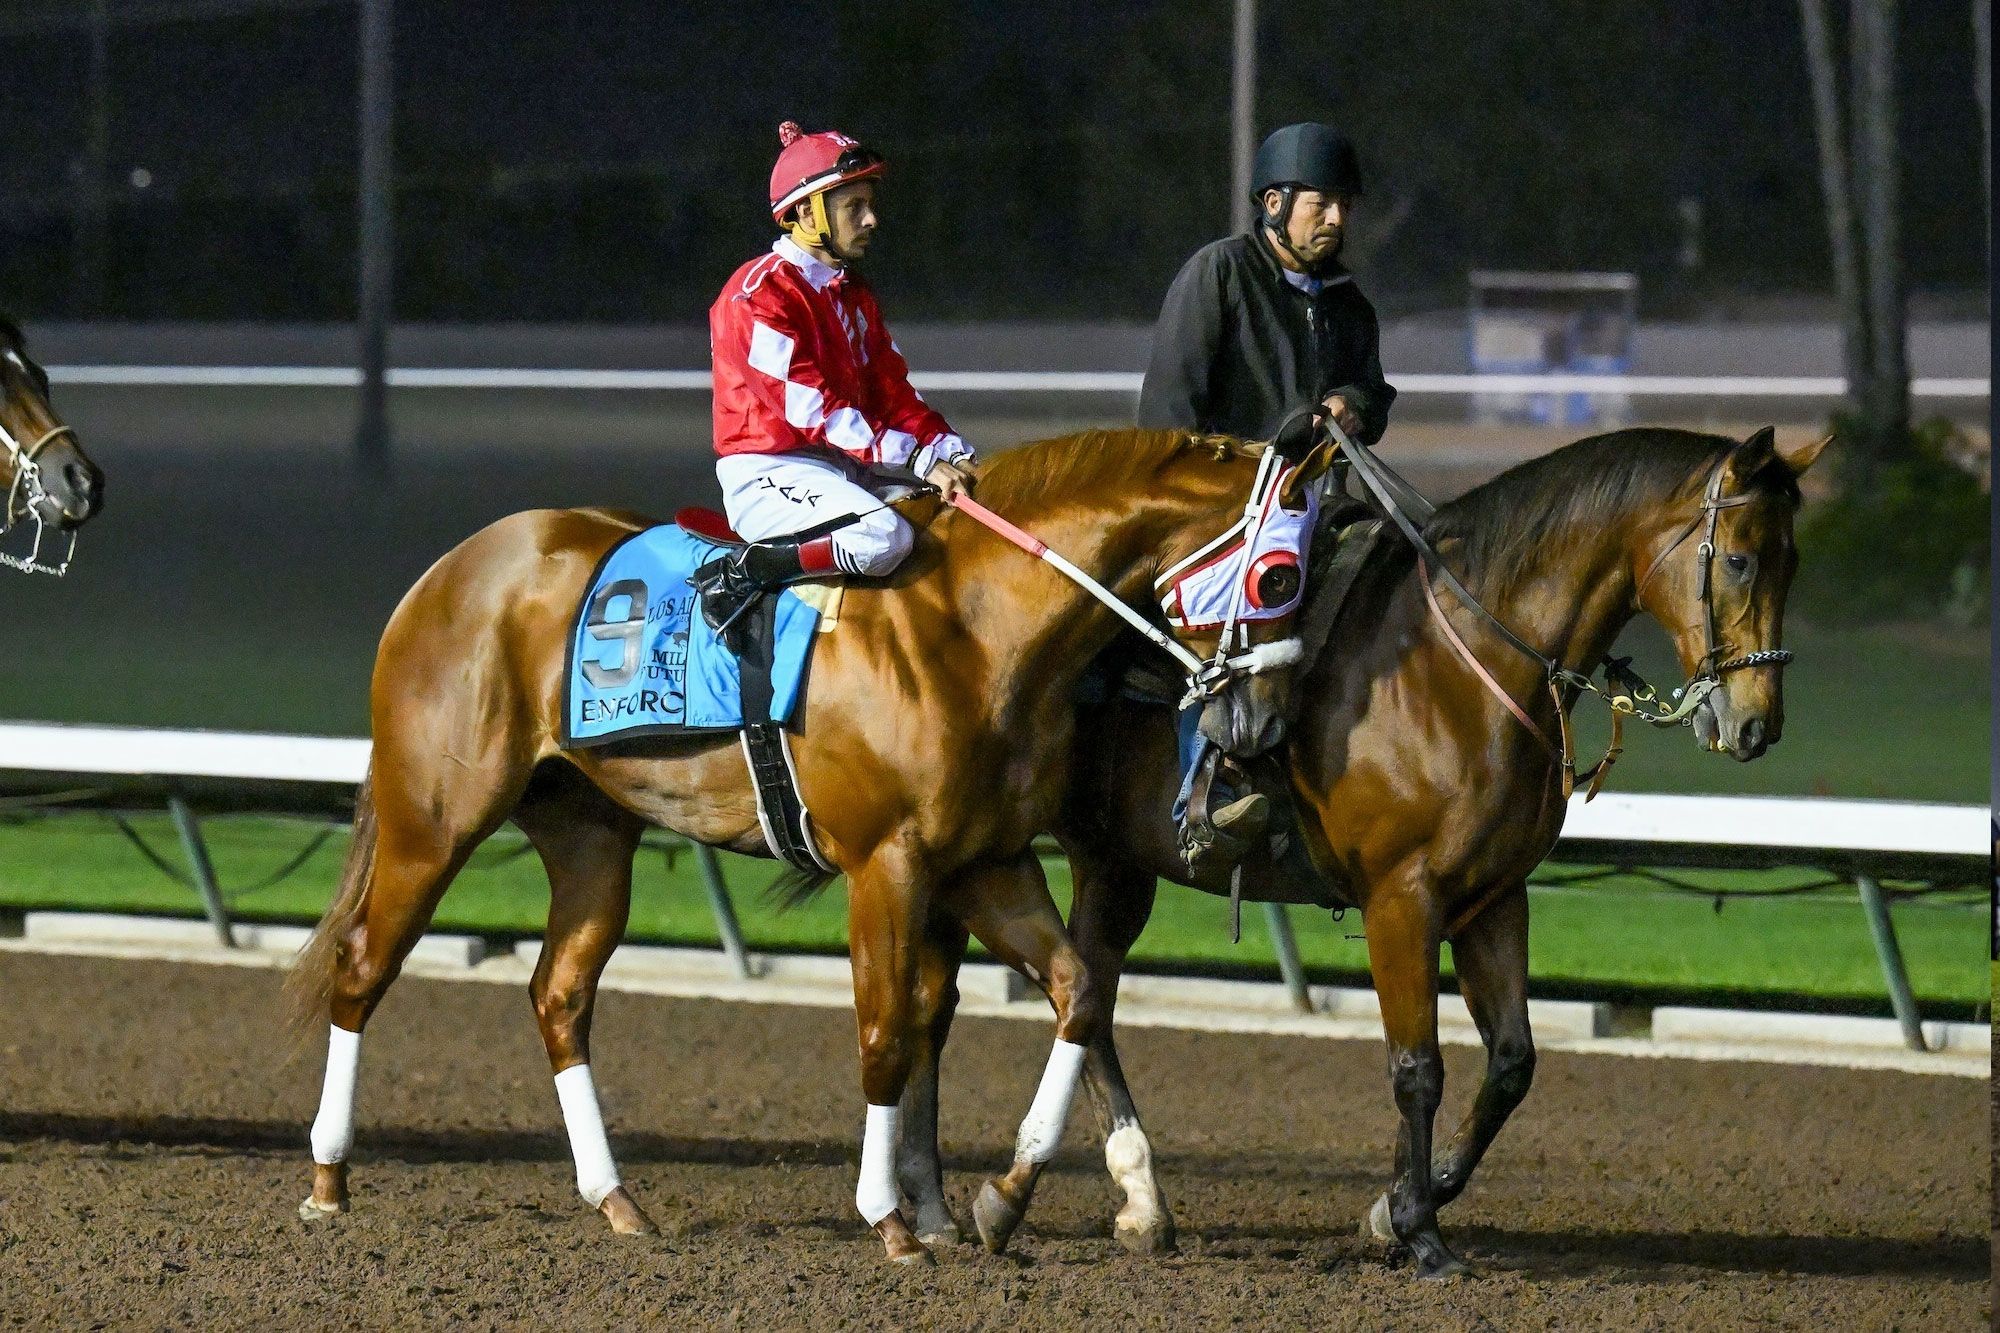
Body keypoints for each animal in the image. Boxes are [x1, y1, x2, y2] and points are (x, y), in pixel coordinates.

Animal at [287, 426, 1336, 1264]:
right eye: (1283, 575)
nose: (1263, 725)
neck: (977, 625)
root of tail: (449, 567)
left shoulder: (986, 858)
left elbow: (1076, 990)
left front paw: (1003, 1197)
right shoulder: (889, 860)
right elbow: (886, 1030)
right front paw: (892, 1218)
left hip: (588, 832)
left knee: (559, 995)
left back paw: (618, 1201)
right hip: (436, 814)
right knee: (363, 964)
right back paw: (328, 1179)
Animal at [896, 425, 1826, 1273]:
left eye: (1793, 560)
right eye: (1739, 560)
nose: (1756, 723)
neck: (1462, 661)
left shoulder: (1493, 895)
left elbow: (1512, 1062)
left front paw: (1402, 1201)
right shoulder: (1401, 897)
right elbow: (1417, 1066)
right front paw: (1419, 1229)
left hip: (1107, 862)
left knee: (1072, 995)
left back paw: (1118, 1200)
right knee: (950, 1002)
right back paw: (948, 1203)